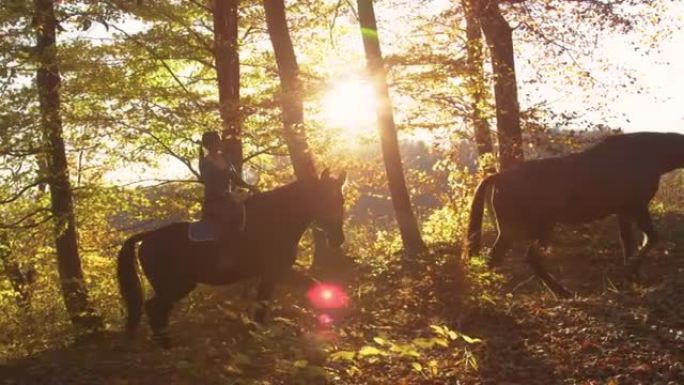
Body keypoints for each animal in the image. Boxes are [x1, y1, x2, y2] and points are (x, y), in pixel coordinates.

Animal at [117, 170, 348, 340]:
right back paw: (164, 342)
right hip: (176, 285)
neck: (275, 220)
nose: (338, 239)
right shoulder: (276, 272)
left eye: (341, 200)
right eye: (322, 199)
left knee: (158, 308)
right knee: (154, 306)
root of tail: (148, 237)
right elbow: (269, 302)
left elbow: (297, 290)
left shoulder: (276, 273)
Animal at [464, 130, 684, 296]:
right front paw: (631, 272)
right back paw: (559, 292)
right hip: (532, 229)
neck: (647, 153)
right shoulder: (637, 206)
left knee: (503, 258)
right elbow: (651, 238)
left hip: (515, 231)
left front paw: (634, 275)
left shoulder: (624, 211)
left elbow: (628, 243)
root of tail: (498, 176)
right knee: (525, 257)